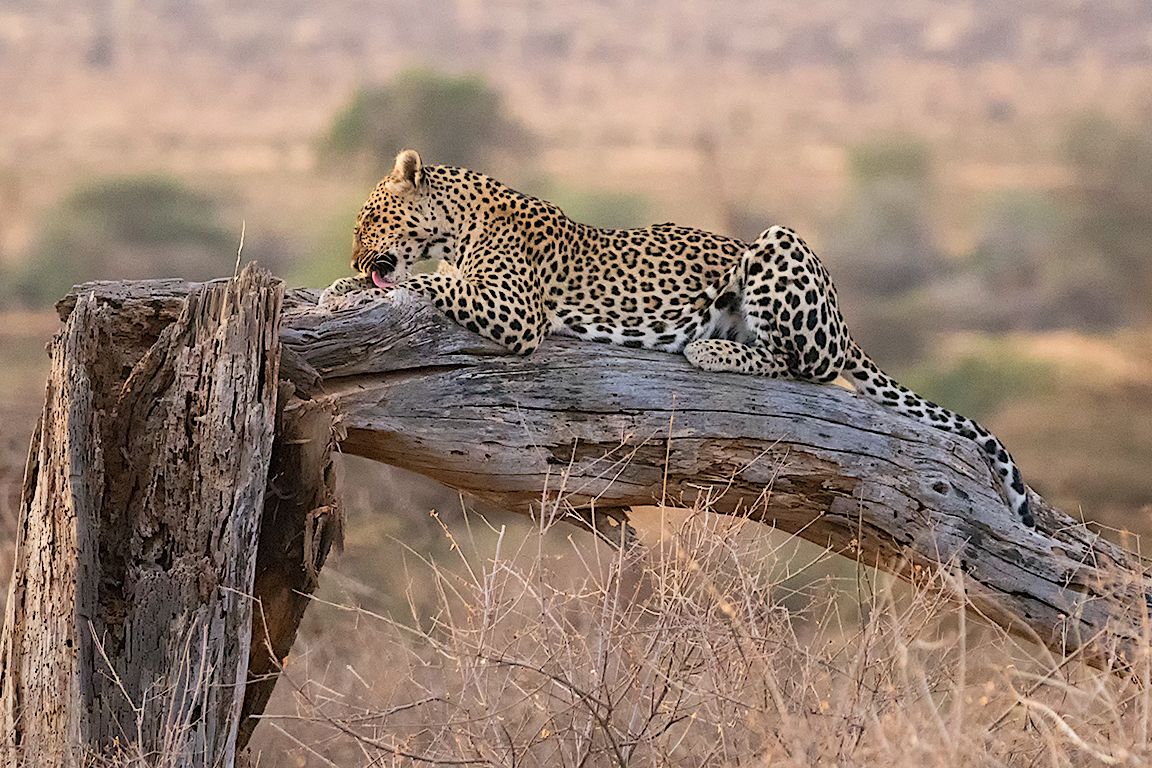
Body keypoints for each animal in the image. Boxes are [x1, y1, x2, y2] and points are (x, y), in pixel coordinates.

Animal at [320, 149, 1034, 526]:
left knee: (801, 365)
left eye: (367, 219)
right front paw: (340, 286)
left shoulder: (515, 311)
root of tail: (844, 321)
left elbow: (426, 285)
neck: (457, 219)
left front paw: (362, 288)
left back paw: (709, 347)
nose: (354, 256)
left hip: (776, 246)